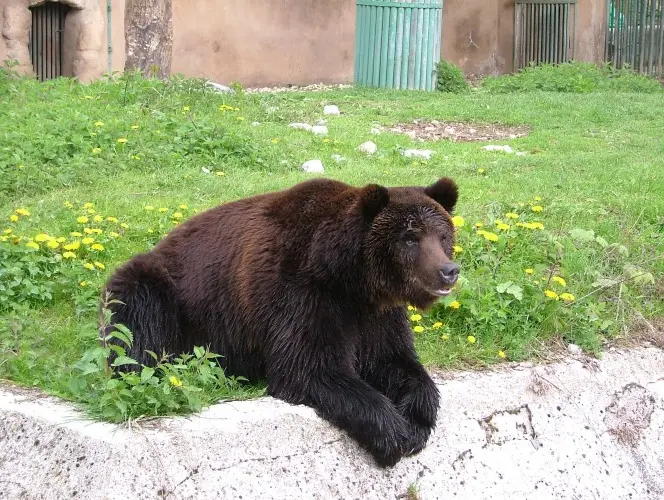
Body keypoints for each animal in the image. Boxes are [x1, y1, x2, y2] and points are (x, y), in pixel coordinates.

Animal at [102, 178, 462, 466]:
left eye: (442, 235)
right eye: (410, 237)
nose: (449, 271)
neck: (349, 280)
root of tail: (162, 242)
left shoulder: (377, 316)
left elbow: (396, 362)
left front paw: (417, 420)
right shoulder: (299, 294)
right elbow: (310, 368)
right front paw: (394, 434)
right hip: (166, 293)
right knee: (138, 323)